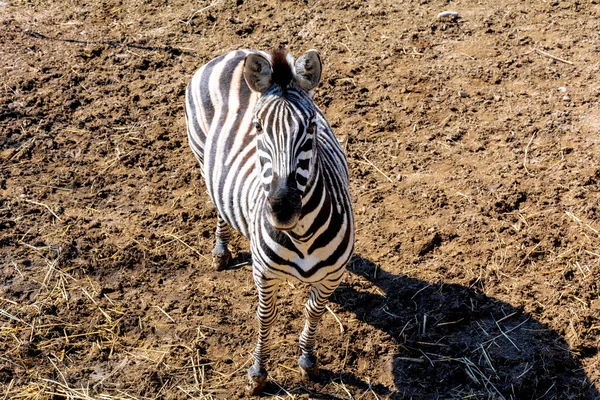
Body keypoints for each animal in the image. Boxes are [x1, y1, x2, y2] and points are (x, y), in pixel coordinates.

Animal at [183, 49, 352, 394]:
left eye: (311, 127)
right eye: (258, 128)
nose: (283, 208)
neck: (302, 236)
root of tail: (236, 52)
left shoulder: (332, 276)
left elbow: (313, 311)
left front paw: (308, 361)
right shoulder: (263, 272)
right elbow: (266, 317)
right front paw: (258, 373)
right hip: (202, 156)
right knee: (218, 201)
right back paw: (221, 251)